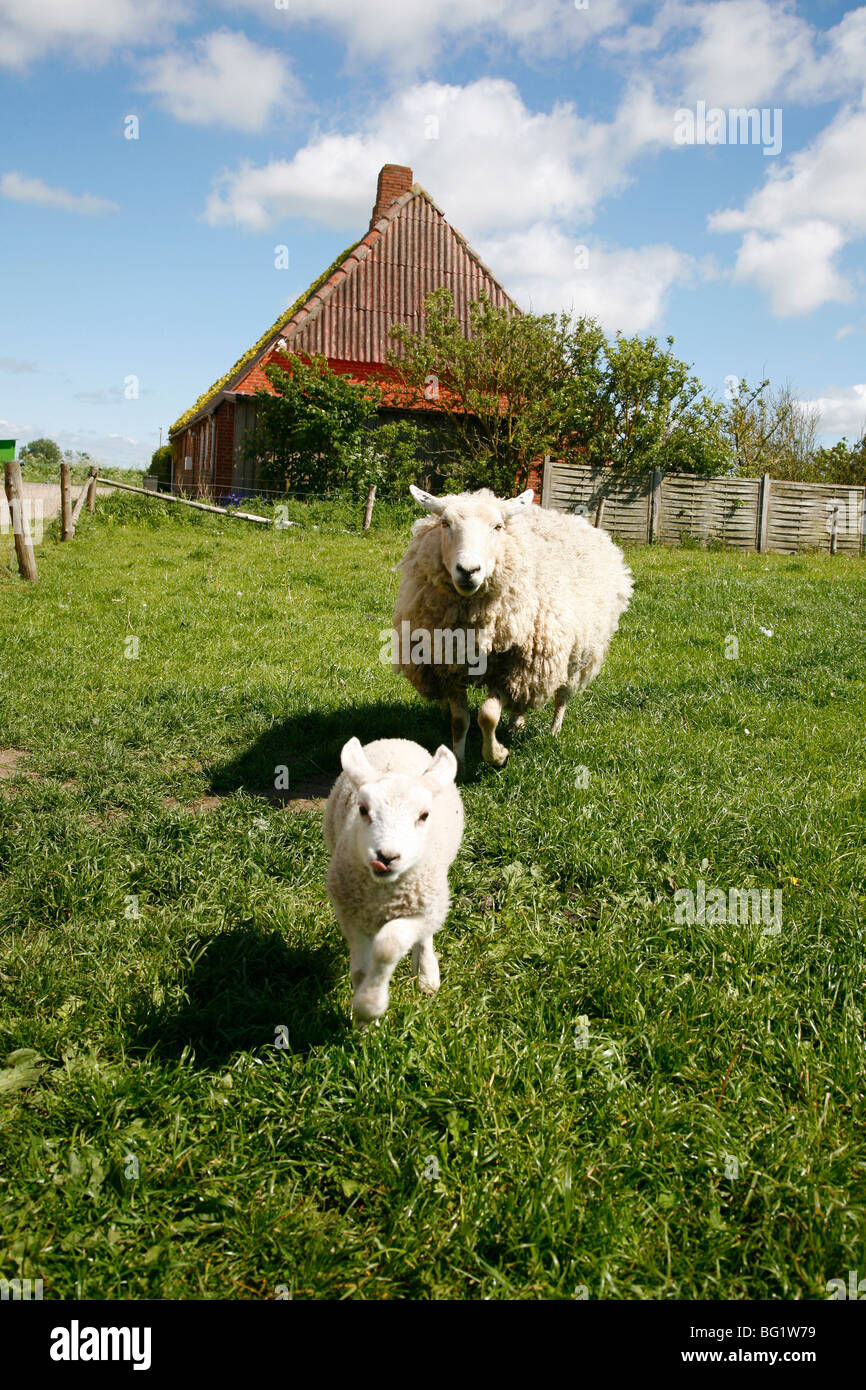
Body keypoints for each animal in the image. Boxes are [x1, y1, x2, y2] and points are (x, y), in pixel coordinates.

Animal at [325, 739, 464, 1023]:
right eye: (363, 809)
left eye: (424, 815)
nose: (386, 856)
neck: (383, 897)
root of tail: (396, 741)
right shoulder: (349, 913)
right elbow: (360, 969)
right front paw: (365, 1018)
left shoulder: (419, 914)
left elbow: (389, 945)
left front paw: (370, 1005)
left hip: (432, 899)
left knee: (425, 936)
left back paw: (426, 975)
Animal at [391, 489, 631, 772]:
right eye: (445, 523)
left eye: (498, 527)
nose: (468, 571)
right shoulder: (450, 666)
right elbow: (459, 720)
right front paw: (458, 762)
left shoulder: (510, 665)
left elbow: (487, 716)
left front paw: (498, 756)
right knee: (521, 699)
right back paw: (517, 724)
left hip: (573, 656)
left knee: (562, 695)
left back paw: (554, 731)